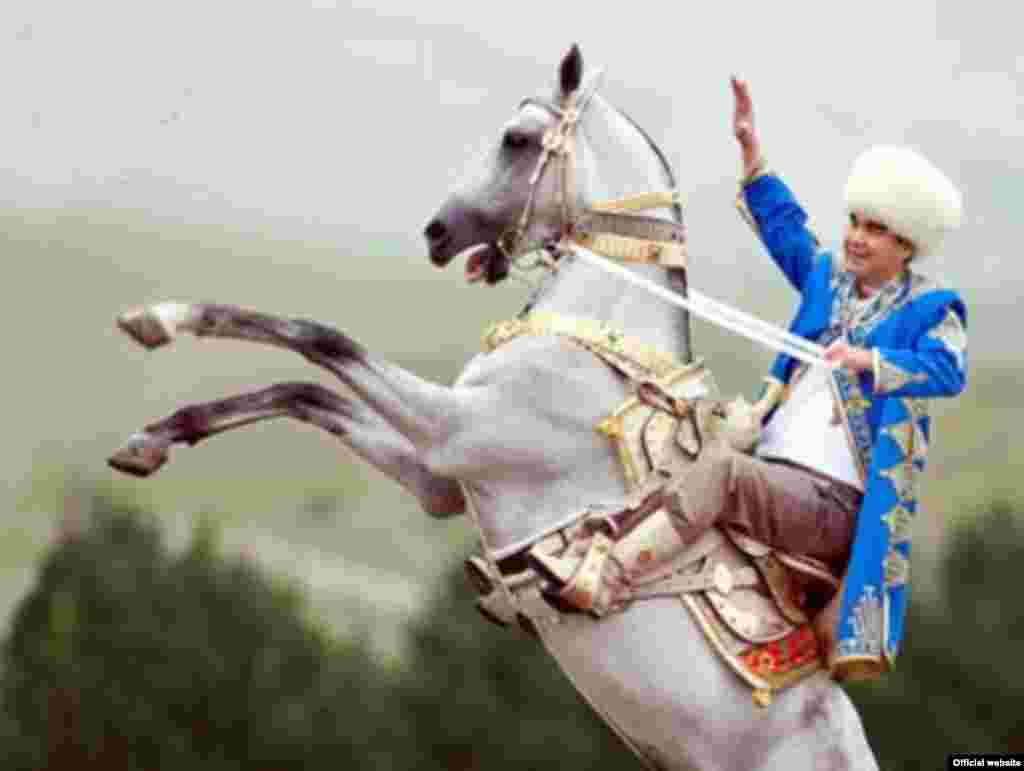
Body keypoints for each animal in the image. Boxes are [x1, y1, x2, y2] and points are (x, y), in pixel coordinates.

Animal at [110, 48, 880, 769]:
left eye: (516, 139)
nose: (437, 232)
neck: (589, 344)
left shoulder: (452, 430)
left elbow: (319, 338)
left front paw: (161, 321)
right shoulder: (438, 476)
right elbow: (305, 391)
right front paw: (153, 435)